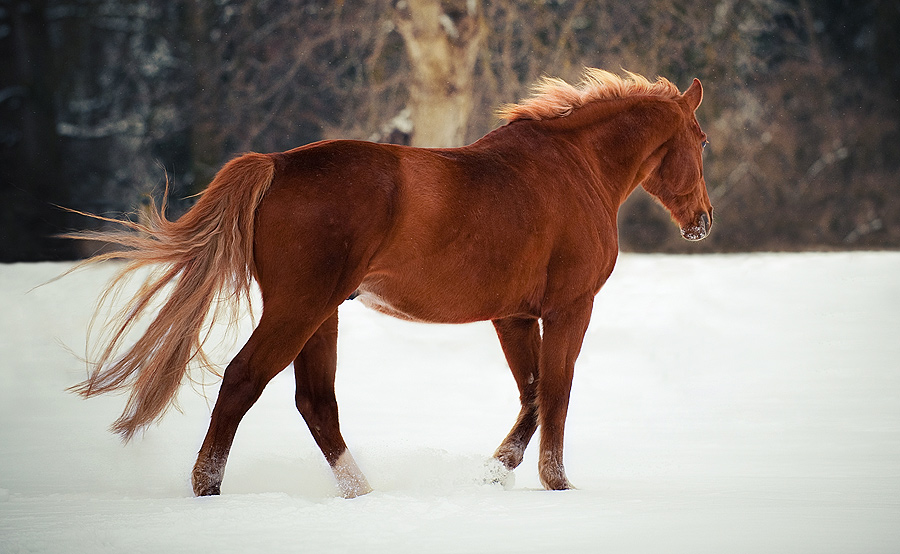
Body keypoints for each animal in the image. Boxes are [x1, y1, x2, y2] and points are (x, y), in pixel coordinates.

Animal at [68, 69, 712, 496]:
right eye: (701, 140)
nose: (703, 221)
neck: (574, 169)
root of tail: (276, 164)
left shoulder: (513, 315)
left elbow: (530, 397)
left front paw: (495, 471)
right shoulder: (569, 309)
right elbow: (556, 393)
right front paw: (557, 484)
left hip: (320, 314)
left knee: (316, 401)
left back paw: (361, 492)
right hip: (300, 308)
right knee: (244, 380)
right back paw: (209, 486)